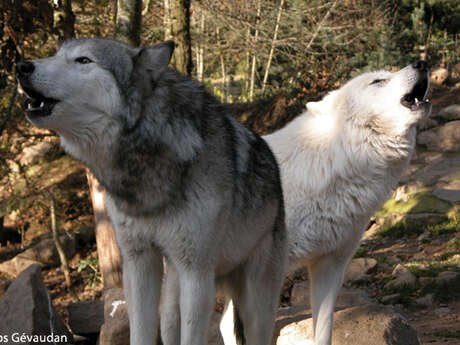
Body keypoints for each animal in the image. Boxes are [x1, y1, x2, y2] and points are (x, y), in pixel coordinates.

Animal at [18, 38, 288, 344]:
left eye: (83, 60)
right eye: (55, 55)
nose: (21, 66)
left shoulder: (196, 273)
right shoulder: (138, 262)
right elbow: (139, 331)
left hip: (254, 305)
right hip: (172, 295)